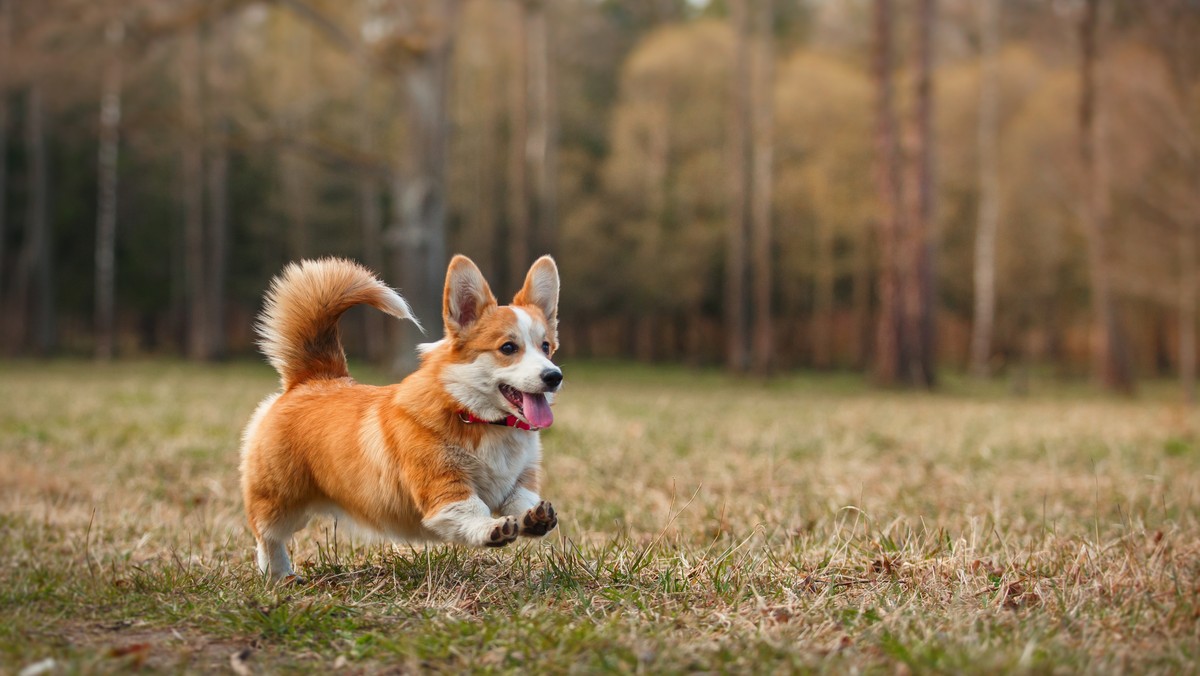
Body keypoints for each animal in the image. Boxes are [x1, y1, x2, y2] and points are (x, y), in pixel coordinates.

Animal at [243, 254, 566, 581]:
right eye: (508, 348)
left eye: (546, 347)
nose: (554, 376)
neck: (479, 418)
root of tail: (312, 378)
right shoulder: (444, 488)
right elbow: (472, 510)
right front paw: (492, 528)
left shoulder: (519, 481)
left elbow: (521, 500)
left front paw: (534, 517)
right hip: (279, 500)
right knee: (267, 535)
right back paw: (278, 575)